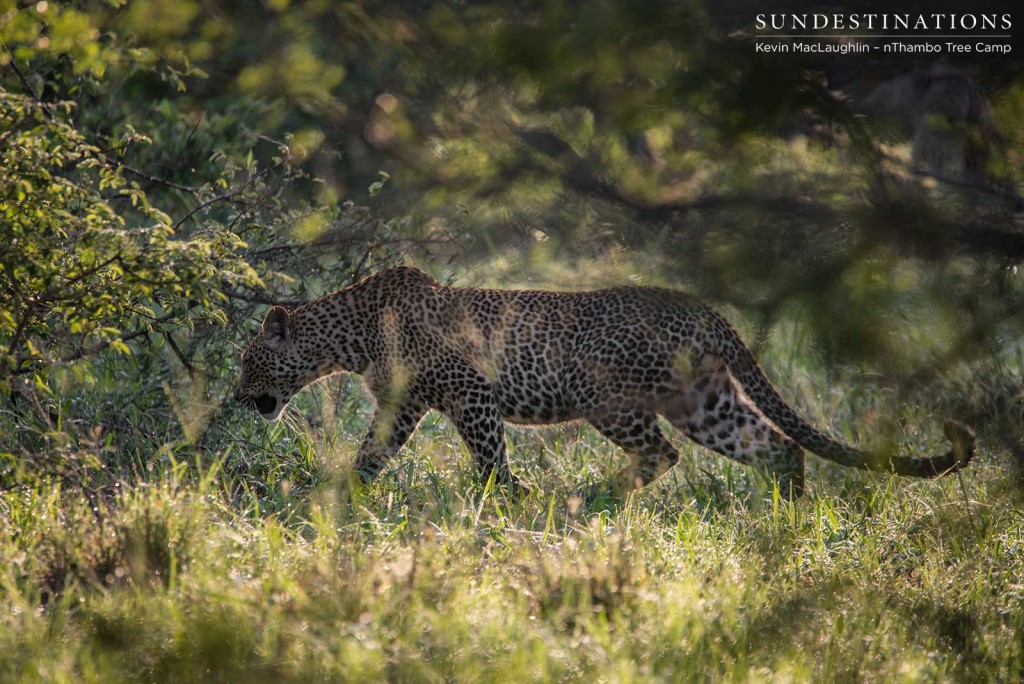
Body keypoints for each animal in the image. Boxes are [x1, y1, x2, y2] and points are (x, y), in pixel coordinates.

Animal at [234, 266, 974, 497]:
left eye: (247, 362)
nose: (240, 399)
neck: (348, 333)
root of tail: (700, 307)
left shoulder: (469, 393)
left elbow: (489, 459)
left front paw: (510, 502)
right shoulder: (402, 404)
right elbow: (372, 454)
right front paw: (338, 496)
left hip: (609, 398)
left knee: (660, 454)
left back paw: (592, 500)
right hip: (704, 402)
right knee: (776, 446)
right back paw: (786, 520)